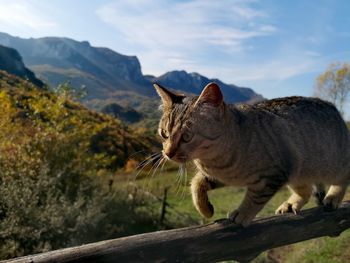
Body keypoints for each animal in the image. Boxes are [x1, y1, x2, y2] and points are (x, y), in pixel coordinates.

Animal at [154, 82, 350, 227]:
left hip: (330, 164)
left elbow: (254, 198)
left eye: (186, 137)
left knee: (342, 177)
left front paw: (242, 214)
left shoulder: (272, 176)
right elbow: (196, 183)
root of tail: (333, 107)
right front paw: (205, 209)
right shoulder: (221, 175)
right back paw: (290, 204)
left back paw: (333, 197)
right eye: (164, 133)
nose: (168, 153)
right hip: (298, 173)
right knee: (306, 190)